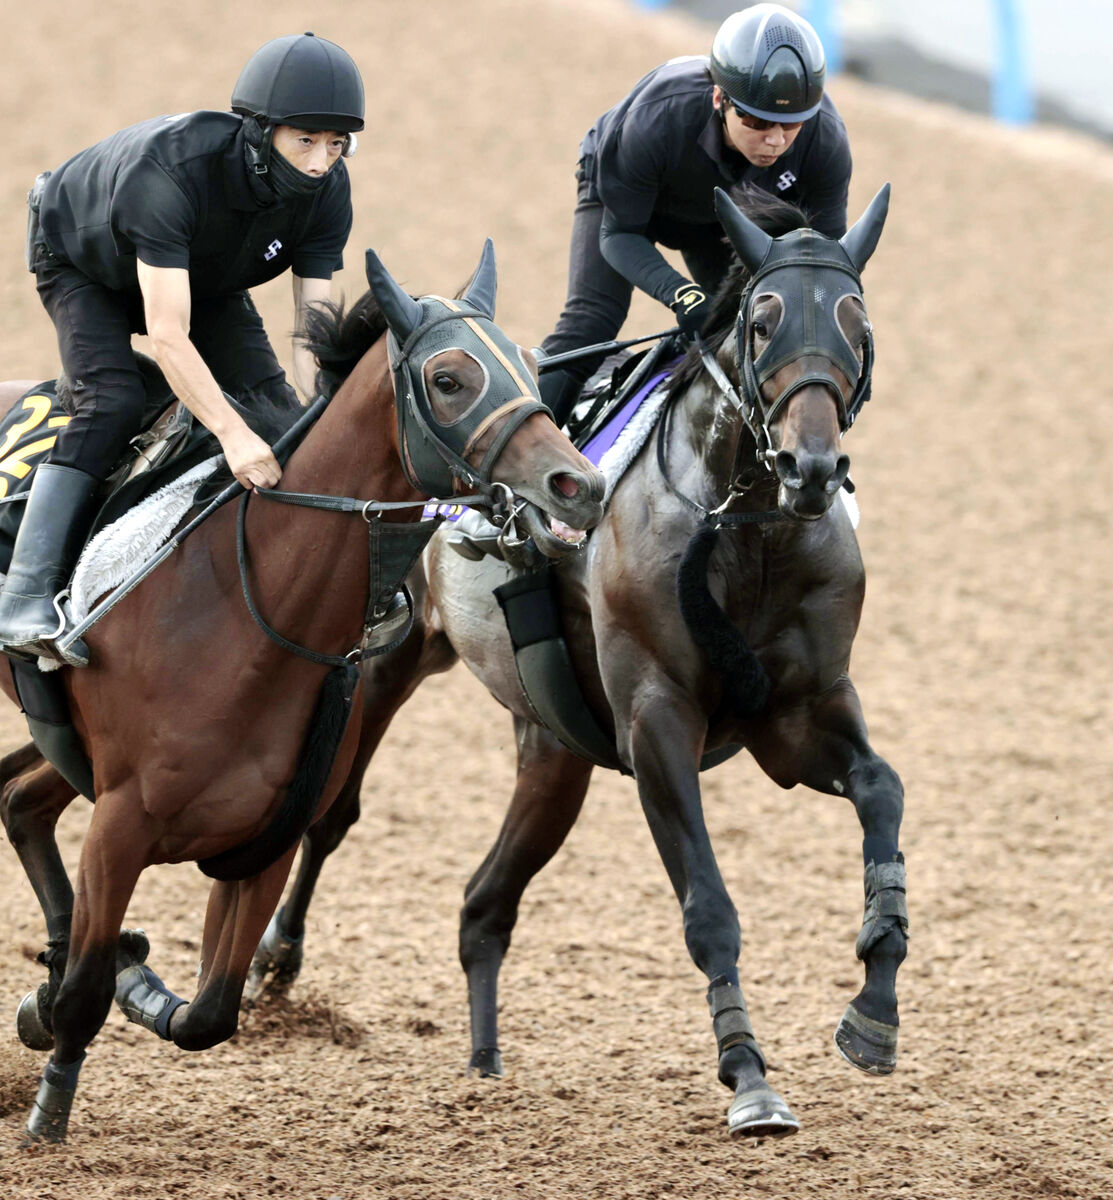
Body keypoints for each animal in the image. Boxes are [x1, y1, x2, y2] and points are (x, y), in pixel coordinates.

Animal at [0, 241, 609, 1142]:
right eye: (448, 379)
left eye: (531, 365)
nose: (579, 486)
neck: (251, 609)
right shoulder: (120, 825)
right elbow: (83, 997)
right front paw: (47, 1109)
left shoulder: (264, 840)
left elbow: (207, 1014)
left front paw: (126, 978)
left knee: (20, 799)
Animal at [241, 184, 901, 1132]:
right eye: (763, 318)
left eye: (856, 319)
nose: (810, 465)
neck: (744, 532)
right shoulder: (655, 723)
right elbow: (708, 905)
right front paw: (747, 1073)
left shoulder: (800, 714)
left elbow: (882, 791)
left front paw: (874, 1007)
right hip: (390, 660)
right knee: (332, 816)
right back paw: (274, 962)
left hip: (555, 750)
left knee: (483, 905)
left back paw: (483, 1069)